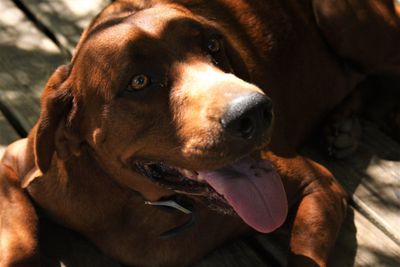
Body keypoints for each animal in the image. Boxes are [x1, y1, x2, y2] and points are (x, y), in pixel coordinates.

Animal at [0, 0, 398, 267]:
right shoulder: (14, 163)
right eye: (139, 81)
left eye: (213, 46)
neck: (146, 202)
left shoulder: (318, 183)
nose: (256, 111)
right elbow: (22, 243)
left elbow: (304, 255)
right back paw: (343, 125)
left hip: (344, 23)